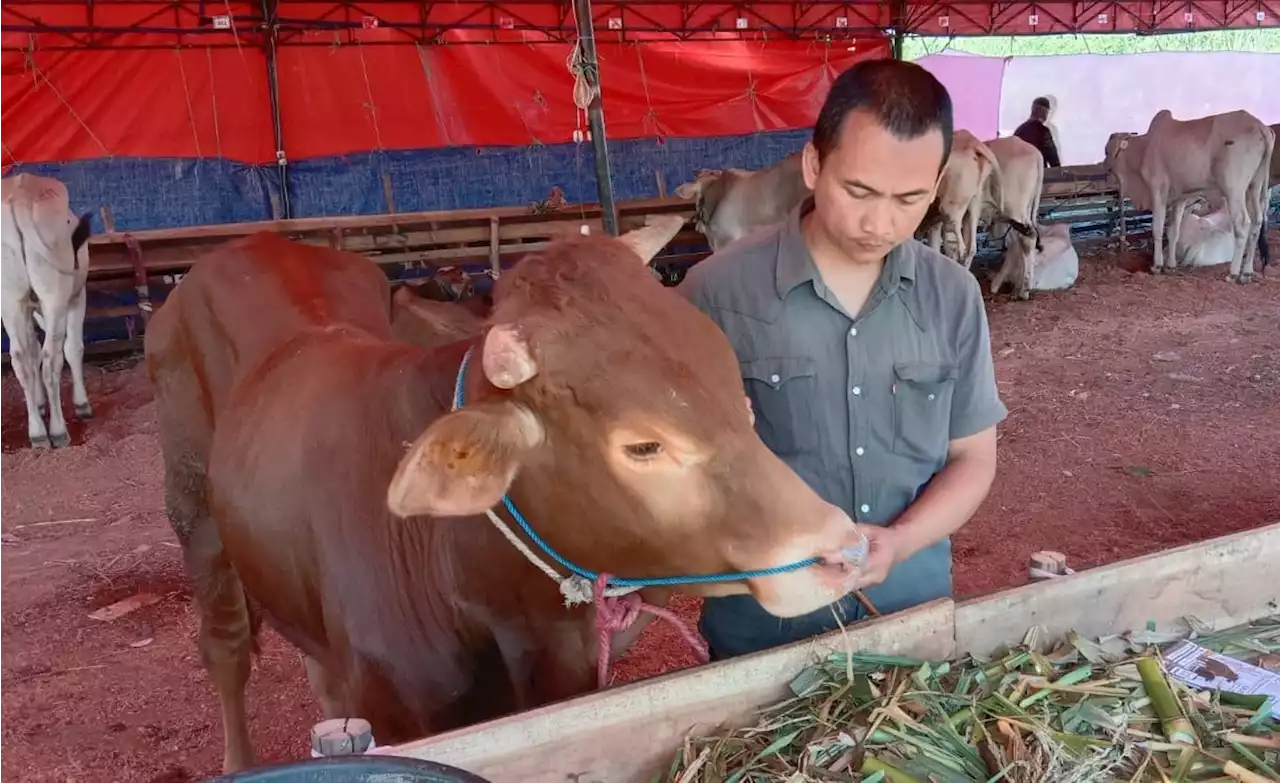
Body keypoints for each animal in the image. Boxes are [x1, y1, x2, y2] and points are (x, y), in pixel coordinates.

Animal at [0, 174, 94, 450]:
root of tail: (20, 194)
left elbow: (32, 353)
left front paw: (40, 405)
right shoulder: (76, 298)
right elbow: (73, 348)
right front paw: (82, 404)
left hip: (10, 299)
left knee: (21, 359)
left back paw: (38, 432)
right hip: (55, 296)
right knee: (52, 357)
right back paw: (58, 431)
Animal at [1100, 108, 1269, 282]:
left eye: (1106, 150)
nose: (1104, 166)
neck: (1144, 148)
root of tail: (1260, 126)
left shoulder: (1157, 191)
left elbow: (1157, 229)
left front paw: (1157, 265)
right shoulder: (1180, 199)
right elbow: (1173, 231)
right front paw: (1171, 266)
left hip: (1234, 189)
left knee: (1243, 223)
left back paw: (1233, 273)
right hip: (1255, 187)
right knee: (1257, 222)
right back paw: (1247, 273)